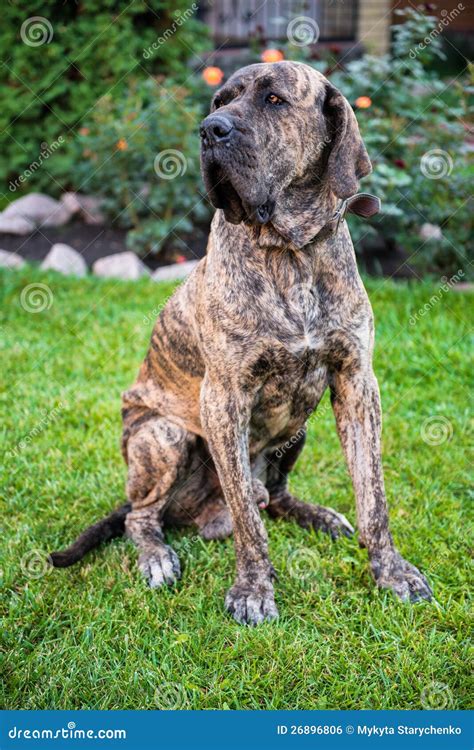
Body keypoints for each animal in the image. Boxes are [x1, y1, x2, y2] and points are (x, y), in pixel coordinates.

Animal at [50, 61, 432, 624]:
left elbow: (373, 496)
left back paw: (318, 515)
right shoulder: (224, 397)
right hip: (163, 436)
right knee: (145, 515)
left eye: (274, 100)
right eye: (218, 102)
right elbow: (250, 525)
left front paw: (393, 572)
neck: (290, 251)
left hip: (299, 428)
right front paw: (253, 589)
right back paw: (157, 557)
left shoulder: (357, 383)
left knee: (274, 493)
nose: (211, 131)